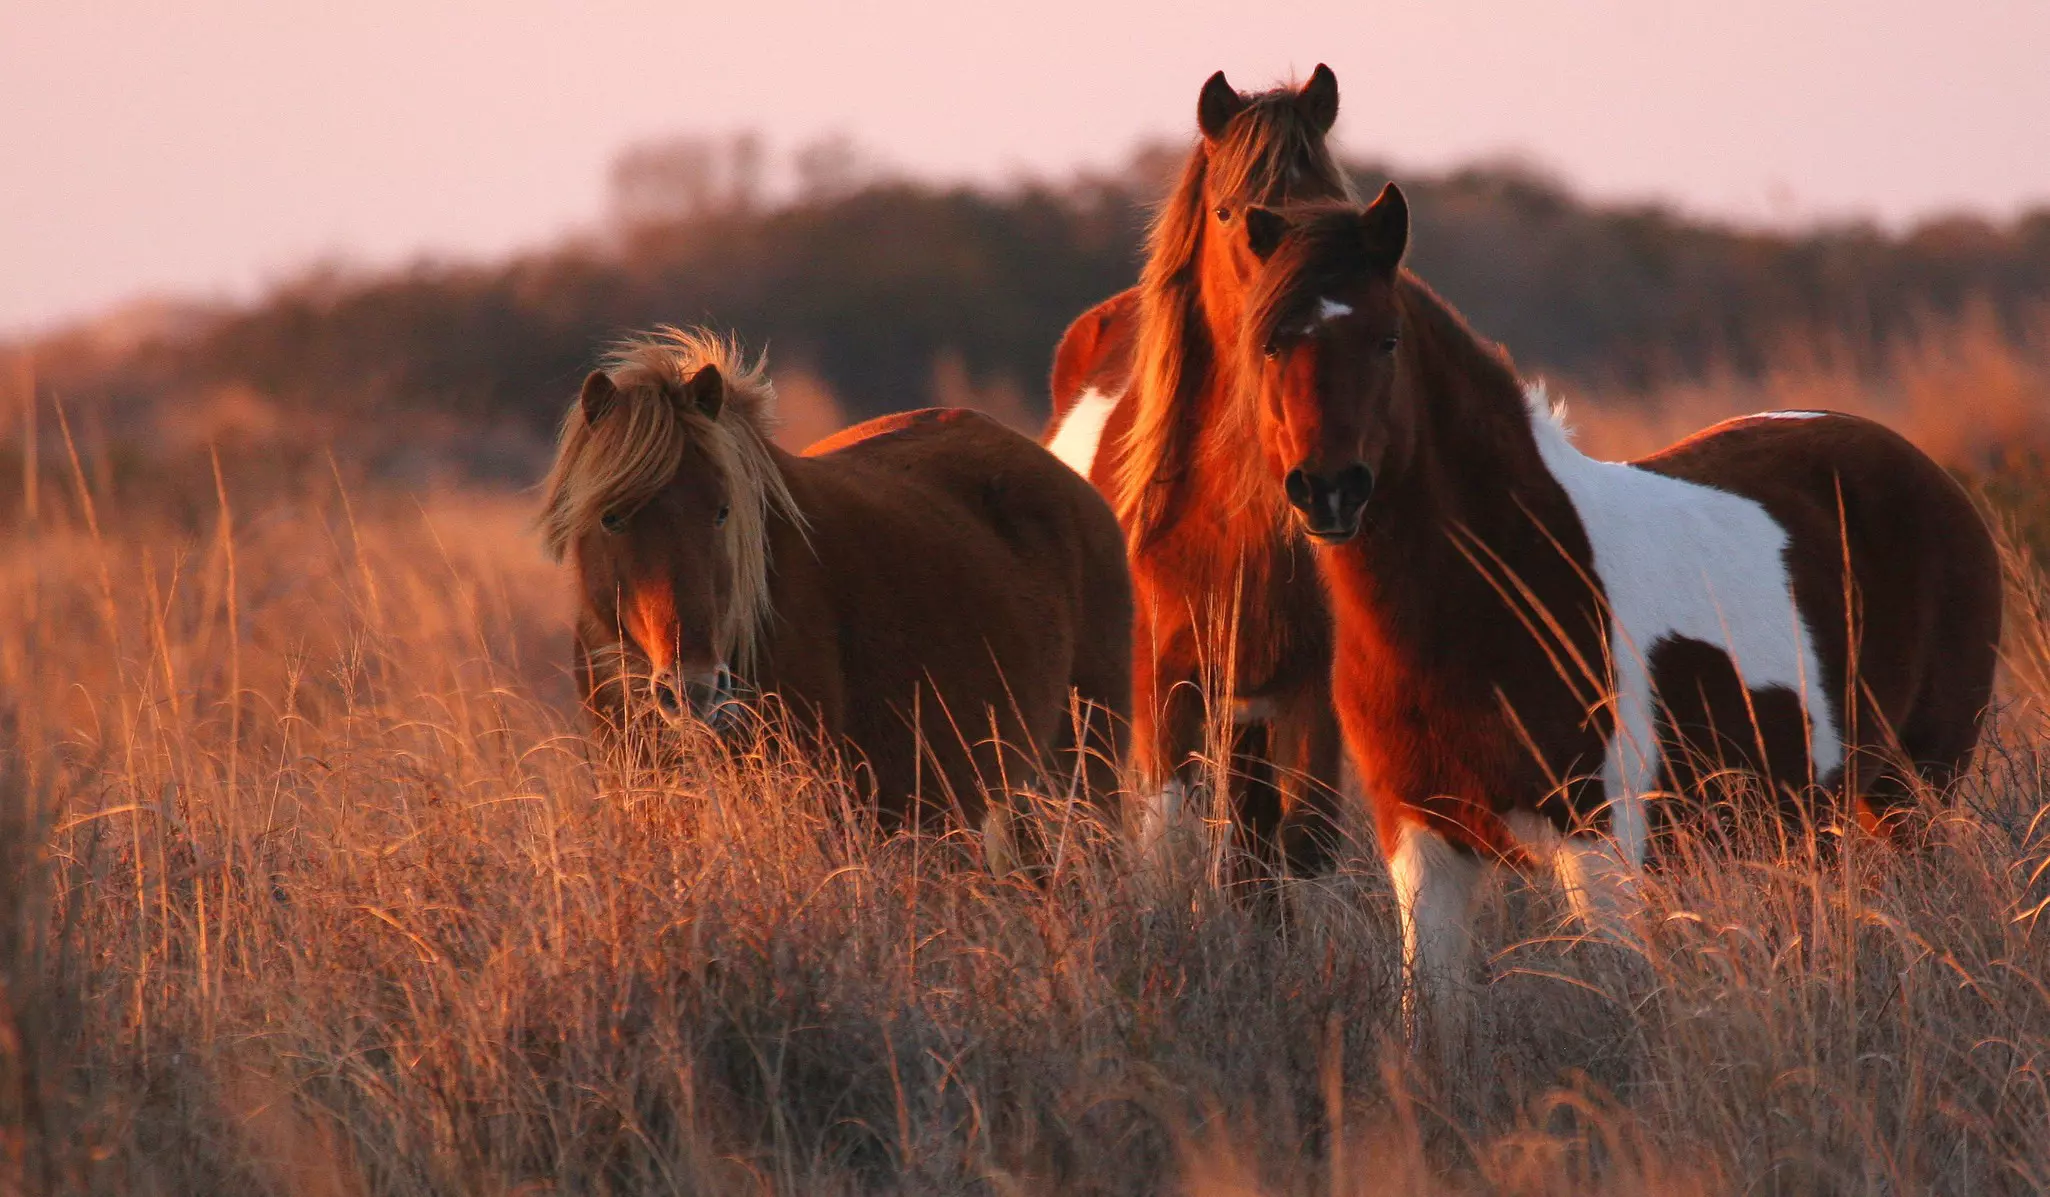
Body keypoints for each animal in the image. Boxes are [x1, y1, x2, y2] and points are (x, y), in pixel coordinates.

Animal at [1041, 65, 1358, 882]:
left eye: (1334, 211)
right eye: (1228, 214)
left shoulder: (1307, 695)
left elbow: (1303, 845)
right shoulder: (1163, 696)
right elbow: (1171, 843)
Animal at [1236, 189, 2002, 1028]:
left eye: (1386, 340)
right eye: (1271, 345)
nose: (1329, 490)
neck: (1488, 598)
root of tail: (1933, 478)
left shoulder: (1601, 842)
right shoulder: (1425, 842)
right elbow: (1430, 1010)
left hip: (1914, 792)